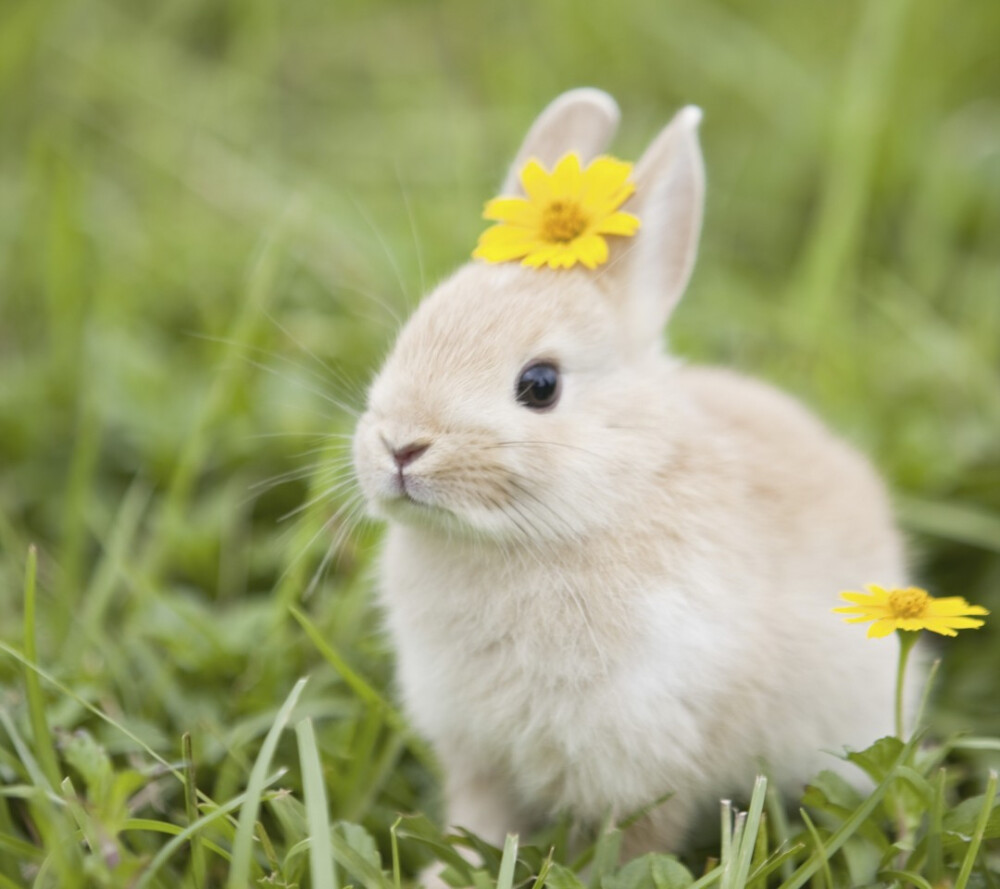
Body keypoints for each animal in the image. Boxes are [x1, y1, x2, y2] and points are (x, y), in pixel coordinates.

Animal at [352, 88, 908, 860]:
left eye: (541, 384)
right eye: (410, 335)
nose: (401, 446)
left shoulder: (649, 753)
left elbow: (639, 845)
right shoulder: (477, 753)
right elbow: (477, 821)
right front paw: (445, 871)